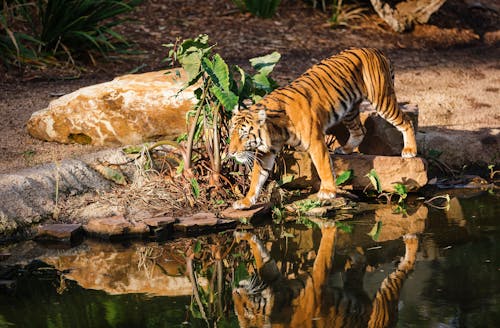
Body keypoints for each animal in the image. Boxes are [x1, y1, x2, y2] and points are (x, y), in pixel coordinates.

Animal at [229, 47, 416, 209]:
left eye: (244, 135)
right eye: (231, 135)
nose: (230, 153)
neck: (275, 130)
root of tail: (375, 50)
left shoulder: (316, 141)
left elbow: (323, 166)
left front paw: (327, 192)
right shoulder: (266, 152)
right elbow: (257, 178)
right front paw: (246, 201)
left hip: (382, 99)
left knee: (406, 121)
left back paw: (410, 150)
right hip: (349, 109)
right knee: (360, 131)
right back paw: (345, 149)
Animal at [233, 226, 418, 328]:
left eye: (246, 309)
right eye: (241, 310)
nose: (235, 291)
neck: (276, 298)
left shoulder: (287, 279)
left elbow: (262, 258)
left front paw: (243, 234)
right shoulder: (300, 279)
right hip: (373, 301)